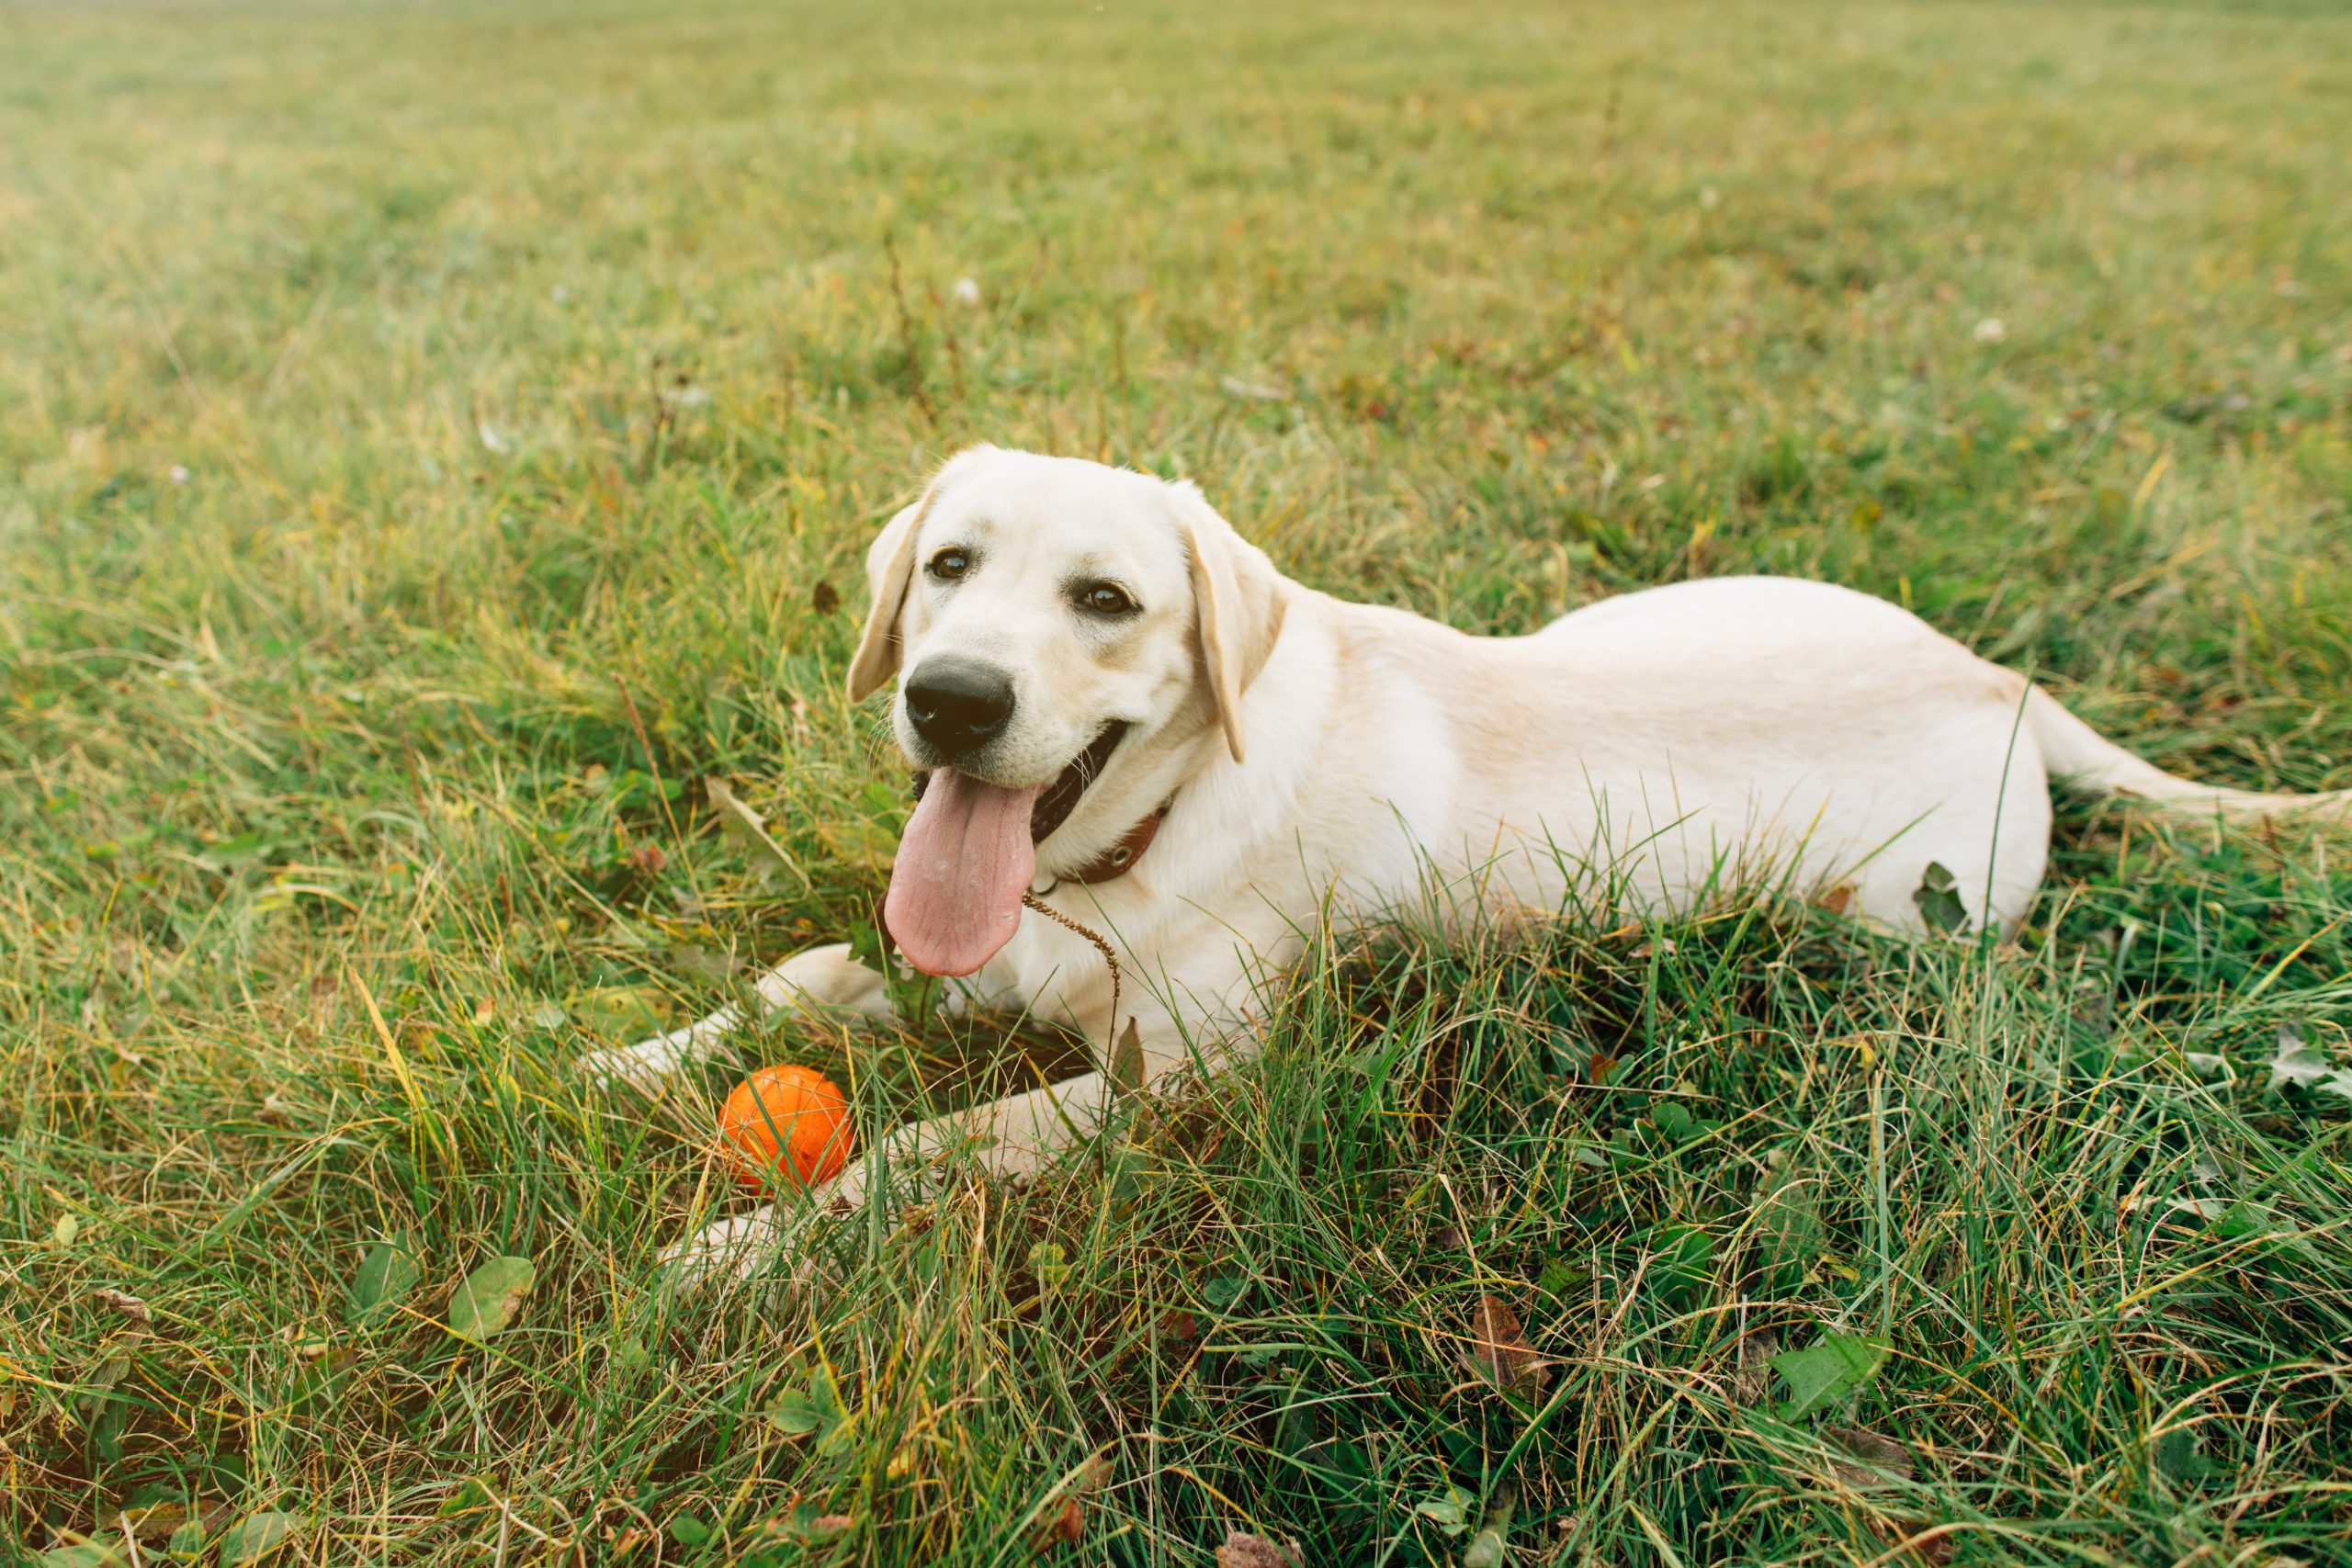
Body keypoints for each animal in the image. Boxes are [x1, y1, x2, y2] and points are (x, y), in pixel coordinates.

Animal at [593, 442, 2352, 1279]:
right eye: (950, 565)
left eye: (1106, 601)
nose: (950, 699)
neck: (1115, 859)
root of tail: (2005, 682)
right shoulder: (963, 956)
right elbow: (808, 973)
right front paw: (617, 1054)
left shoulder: (1178, 1089)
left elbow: (930, 1148)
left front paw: (737, 1252)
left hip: (1895, 920)